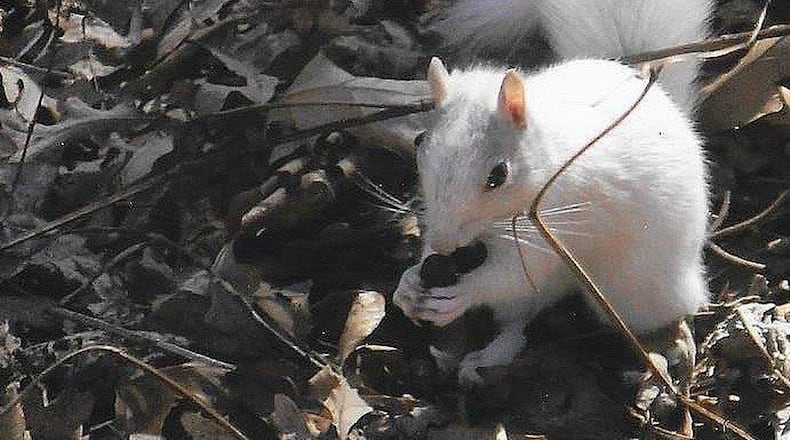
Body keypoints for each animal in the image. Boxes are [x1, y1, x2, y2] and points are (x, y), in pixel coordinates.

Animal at [393, 0, 712, 385]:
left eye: (498, 175)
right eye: (419, 142)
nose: (443, 246)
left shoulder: (552, 229)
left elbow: (509, 274)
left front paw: (463, 292)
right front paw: (409, 282)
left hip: (639, 292)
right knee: (519, 321)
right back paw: (486, 357)